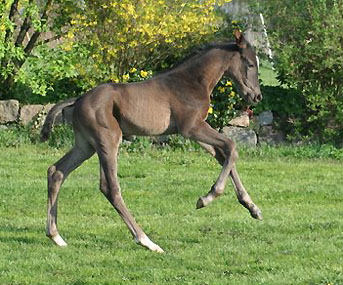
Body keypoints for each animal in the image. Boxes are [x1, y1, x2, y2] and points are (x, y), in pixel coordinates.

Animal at [42, 31, 264, 252]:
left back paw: (55, 236)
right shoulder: (191, 128)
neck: (193, 81)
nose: (257, 96)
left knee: (56, 172)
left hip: (85, 145)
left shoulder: (196, 130)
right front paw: (207, 198)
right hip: (108, 140)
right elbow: (231, 146)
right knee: (109, 187)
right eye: (251, 64)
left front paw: (252, 208)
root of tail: (78, 99)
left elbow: (223, 154)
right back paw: (146, 241)